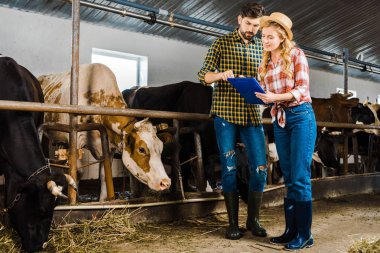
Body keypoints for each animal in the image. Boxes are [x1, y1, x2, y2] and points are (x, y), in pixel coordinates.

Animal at [37, 63, 171, 202]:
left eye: (161, 148)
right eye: (142, 149)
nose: (165, 182)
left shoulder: (108, 148)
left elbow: (104, 176)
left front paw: (101, 200)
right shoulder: (75, 138)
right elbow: (77, 172)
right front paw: (74, 199)